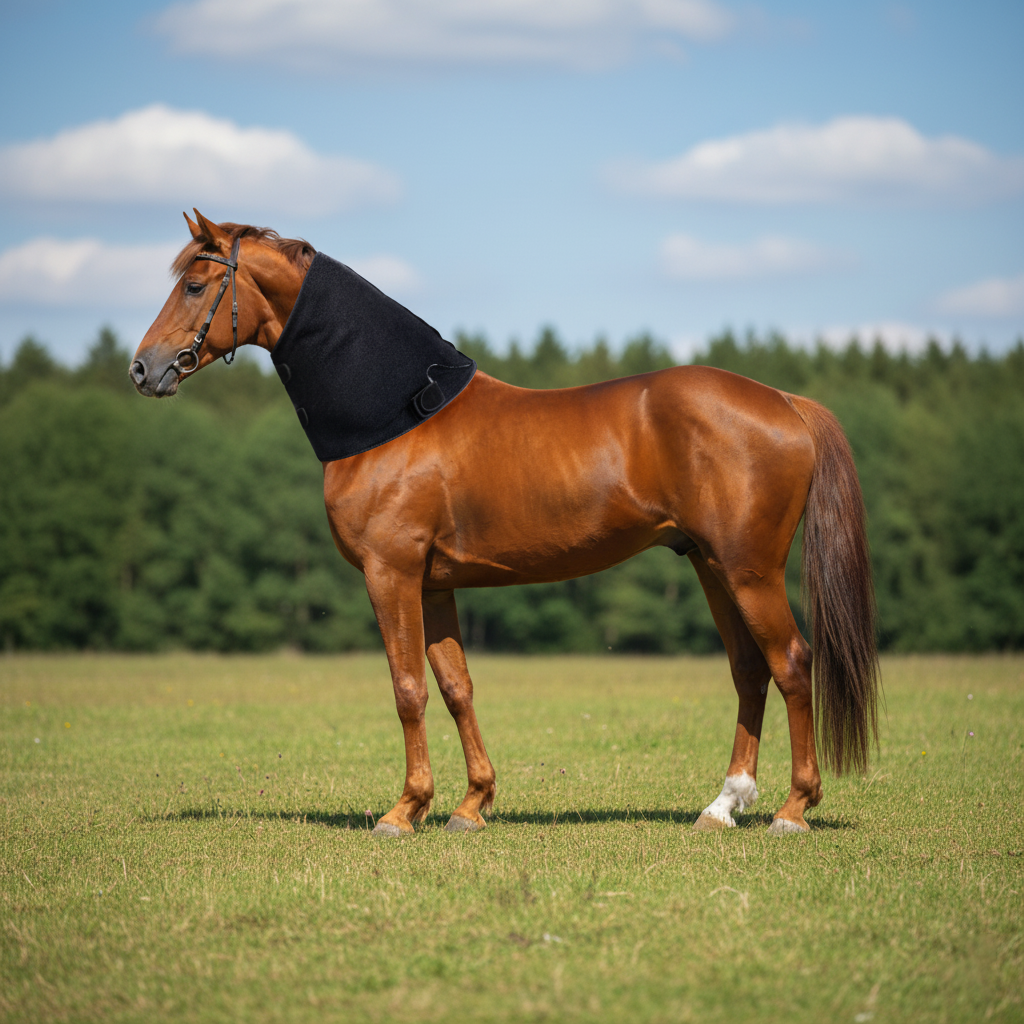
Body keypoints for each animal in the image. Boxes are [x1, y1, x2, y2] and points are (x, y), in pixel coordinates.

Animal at [130, 211, 879, 837]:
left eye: (194, 285)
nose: (144, 368)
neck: (397, 414)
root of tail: (784, 401)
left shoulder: (390, 573)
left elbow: (407, 690)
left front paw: (404, 811)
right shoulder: (433, 585)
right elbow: (455, 687)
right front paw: (470, 805)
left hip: (750, 571)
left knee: (791, 664)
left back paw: (792, 809)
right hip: (710, 564)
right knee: (749, 670)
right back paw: (723, 806)